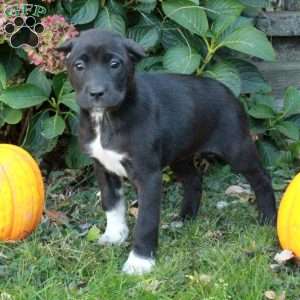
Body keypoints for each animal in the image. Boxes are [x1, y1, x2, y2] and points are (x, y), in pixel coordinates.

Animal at [57, 29, 278, 276]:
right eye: (79, 66)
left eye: (115, 64)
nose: (96, 92)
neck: (105, 118)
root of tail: (226, 89)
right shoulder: (103, 168)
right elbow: (111, 203)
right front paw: (115, 235)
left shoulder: (148, 176)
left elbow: (146, 220)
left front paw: (140, 261)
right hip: (180, 155)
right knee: (193, 179)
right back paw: (185, 219)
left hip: (237, 148)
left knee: (261, 178)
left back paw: (268, 218)